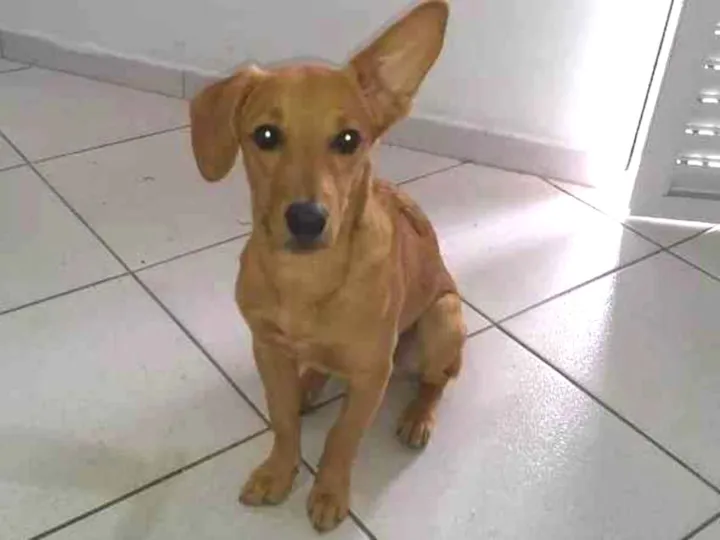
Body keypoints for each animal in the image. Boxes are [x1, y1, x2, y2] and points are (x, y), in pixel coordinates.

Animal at [189, 0, 465, 532]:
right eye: (266, 135)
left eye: (348, 139)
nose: (306, 218)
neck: (306, 279)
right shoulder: (268, 350)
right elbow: (281, 422)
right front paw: (279, 471)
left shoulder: (371, 376)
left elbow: (342, 439)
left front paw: (330, 491)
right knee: (317, 370)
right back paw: (309, 386)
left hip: (443, 320)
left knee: (436, 382)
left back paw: (417, 415)